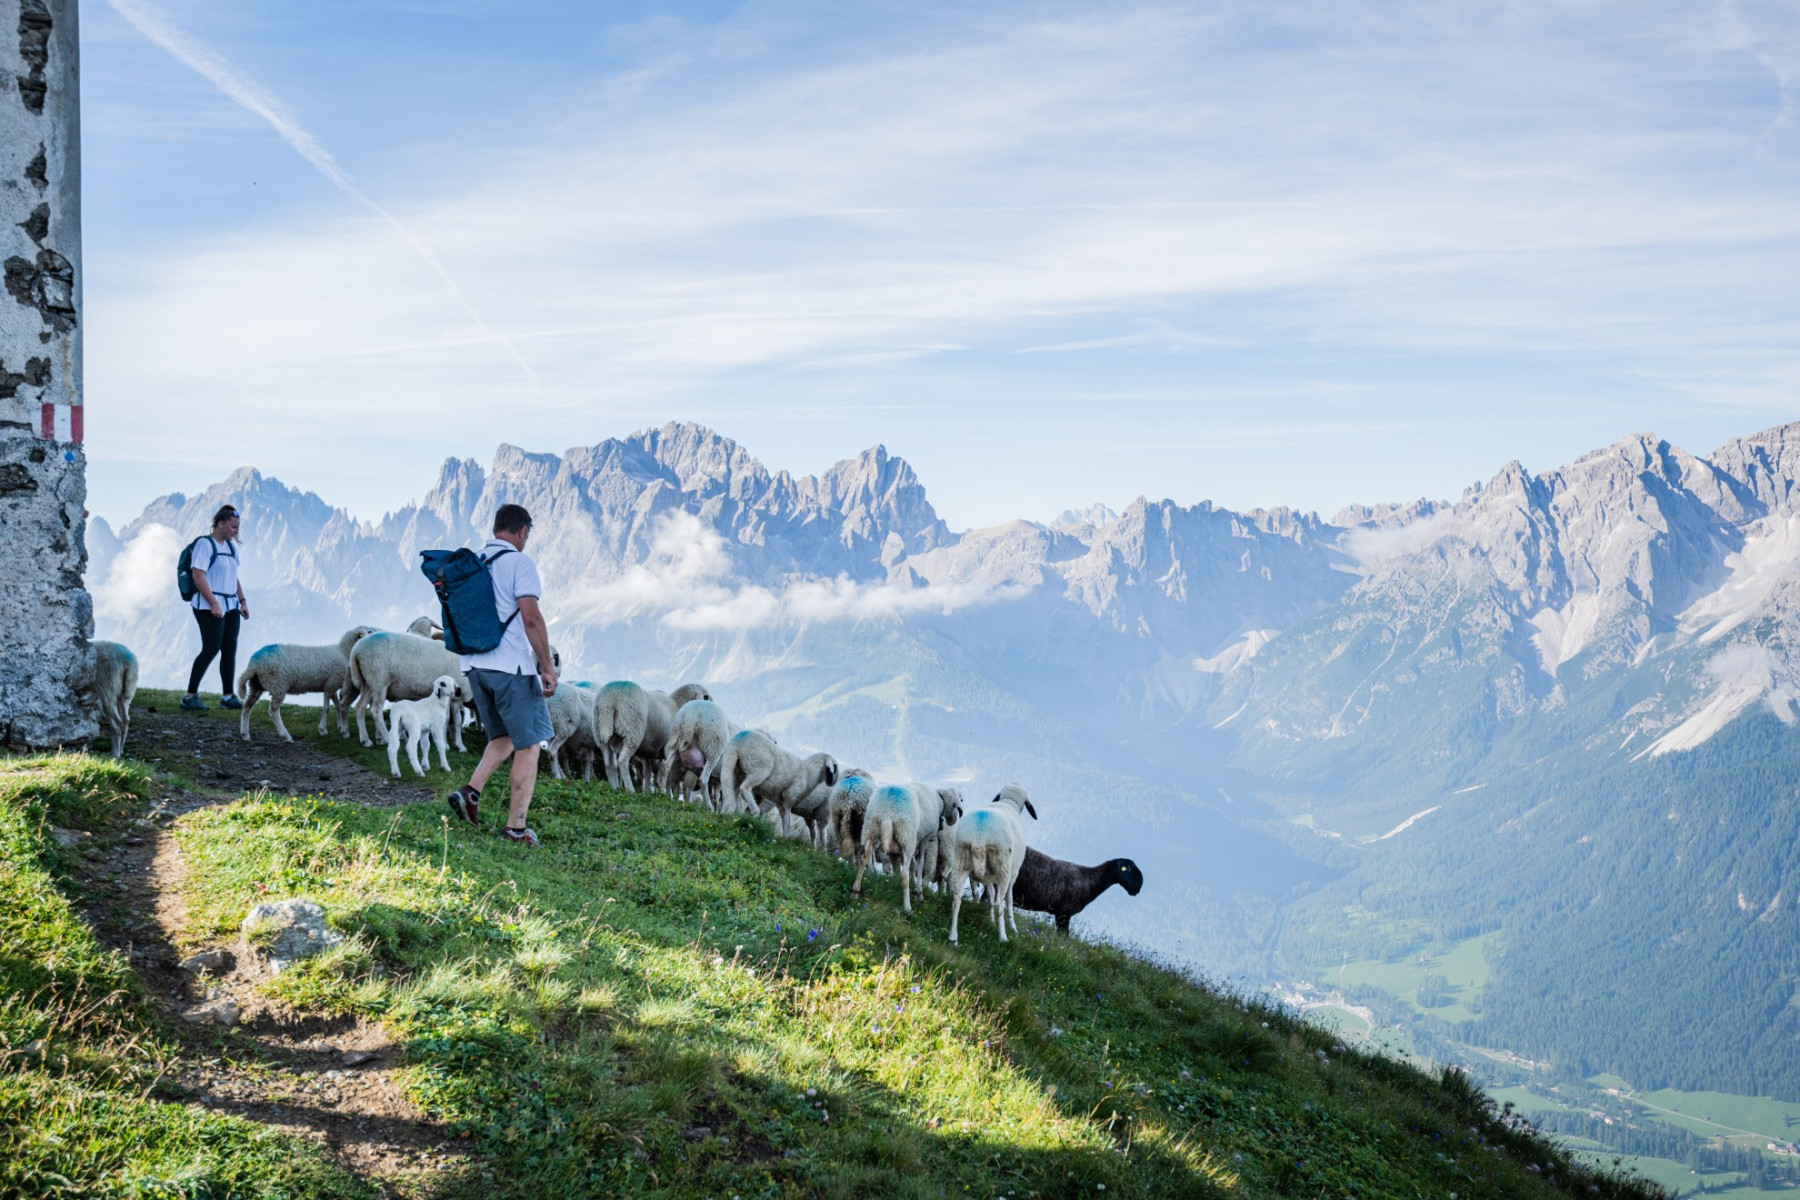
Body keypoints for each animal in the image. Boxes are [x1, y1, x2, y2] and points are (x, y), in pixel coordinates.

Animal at [235, 629, 376, 741]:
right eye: (365, 632)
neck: (342, 651)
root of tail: (254, 664)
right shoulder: (330, 684)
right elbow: (327, 708)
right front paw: (323, 729)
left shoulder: (331, 685)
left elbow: (337, 705)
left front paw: (340, 725)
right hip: (278, 685)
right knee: (273, 711)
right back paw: (286, 735)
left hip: (257, 685)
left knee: (247, 706)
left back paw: (245, 734)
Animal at [342, 633, 471, 744]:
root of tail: (356, 650)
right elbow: (447, 718)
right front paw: (446, 743)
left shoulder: (454, 698)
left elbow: (455, 720)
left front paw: (458, 744)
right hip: (379, 679)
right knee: (376, 711)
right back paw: (387, 738)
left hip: (369, 682)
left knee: (360, 707)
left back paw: (365, 740)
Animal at [853, 784, 964, 913]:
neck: (939, 801)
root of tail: (887, 812)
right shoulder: (924, 838)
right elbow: (920, 864)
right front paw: (918, 893)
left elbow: (907, 865)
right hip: (906, 837)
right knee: (904, 874)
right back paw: (907, 907)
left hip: (870, 829)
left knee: (864, 859)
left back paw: (855, 890)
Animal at [943, 788, 1044, 949]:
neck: (1008, 803)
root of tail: (979, 837)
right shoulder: (1012, 875)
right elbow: (1008, 901)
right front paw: (1013, 928)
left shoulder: (988, 877)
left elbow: (989, 895)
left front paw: (990, 920)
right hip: (1002, 867)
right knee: (1000, 904)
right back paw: (1002, 936)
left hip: (960, 861)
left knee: (956, 900)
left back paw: (953, 938)